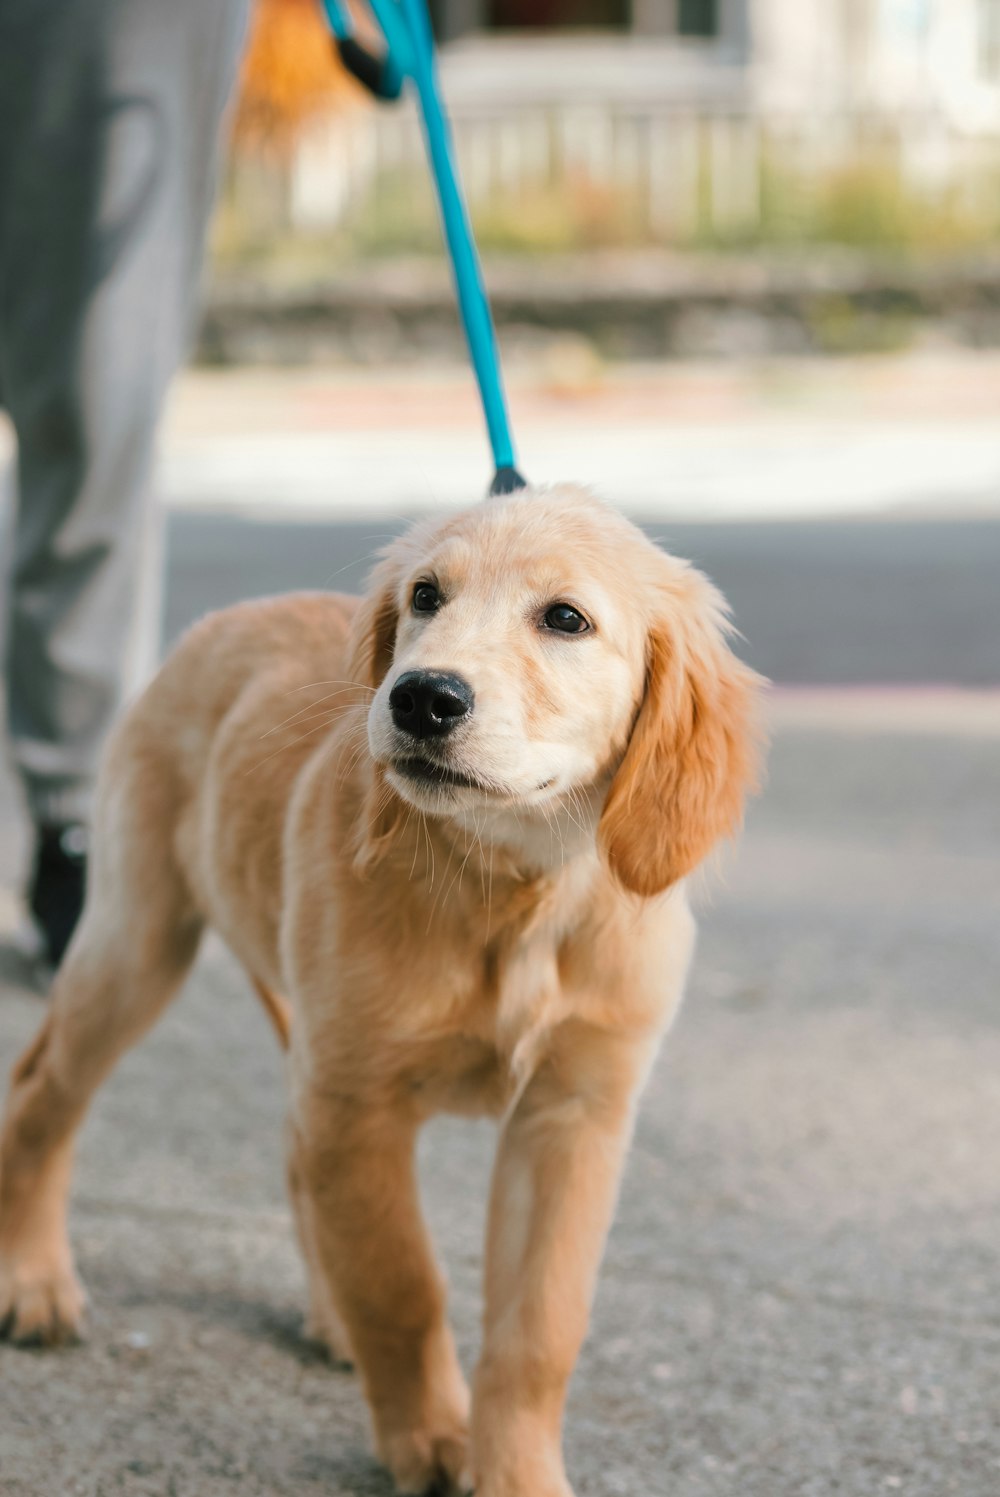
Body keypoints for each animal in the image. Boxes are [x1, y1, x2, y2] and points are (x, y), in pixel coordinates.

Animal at [0, 485, 757, 1491]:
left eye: (566, 618)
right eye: (426, 596)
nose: (421, 696)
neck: (515, 885)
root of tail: (230, 615)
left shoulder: (575, 1111)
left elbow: (538, 1327)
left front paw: (516, 1469)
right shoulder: (361, 1101)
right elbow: (403, 1283)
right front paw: (430, 1437)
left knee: (293, 1152)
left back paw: (328, 1316)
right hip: (139, 938)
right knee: (43, 1090)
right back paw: (32, 1280)